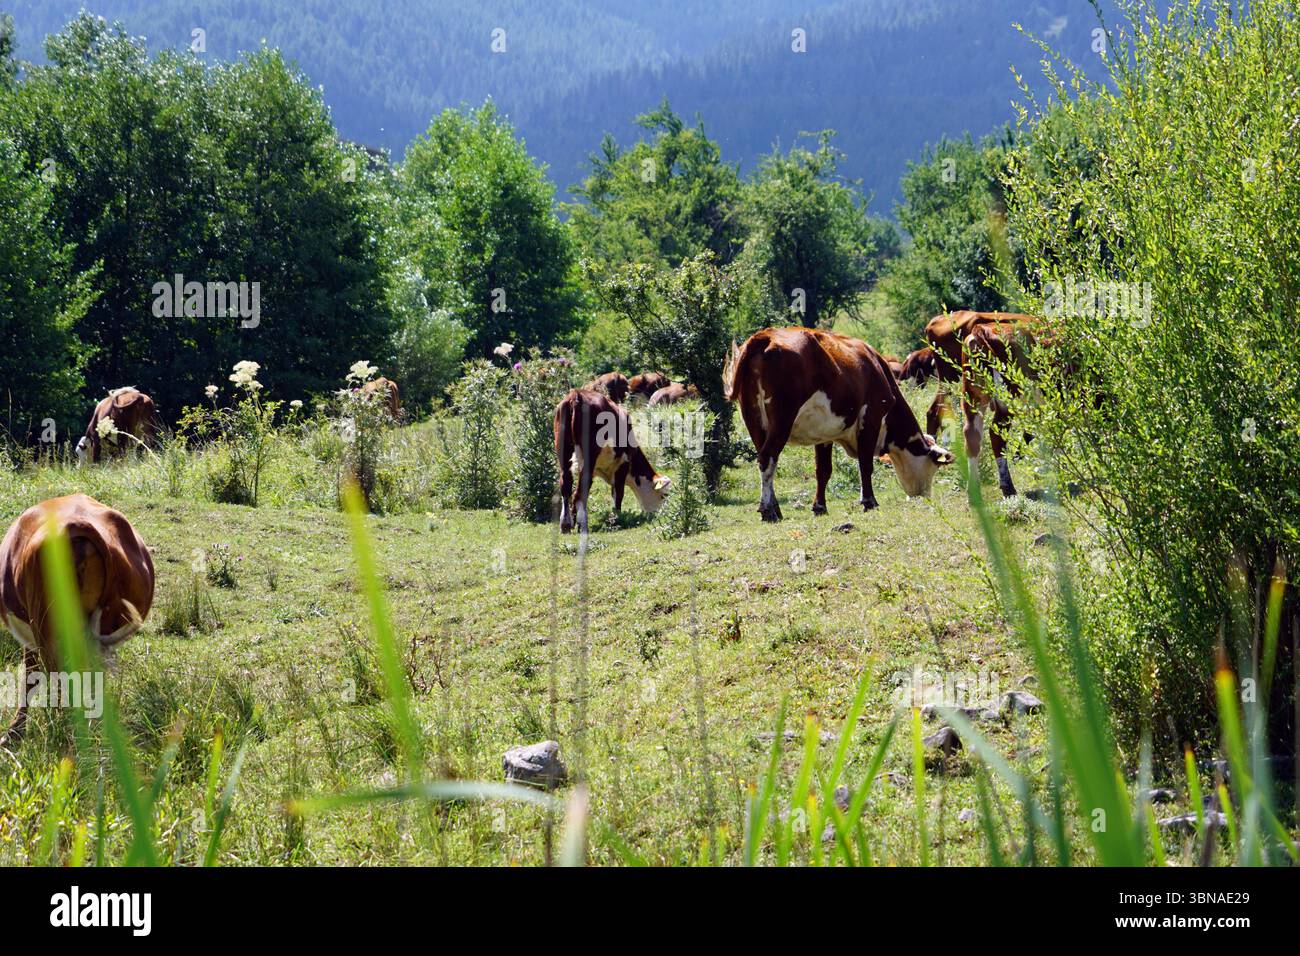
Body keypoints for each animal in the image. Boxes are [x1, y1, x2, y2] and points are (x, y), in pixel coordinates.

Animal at [0, 494, 154, 747]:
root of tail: (77, 524)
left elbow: (30, 677)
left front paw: (14, 732)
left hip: (48, 631)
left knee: (60, 681)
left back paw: (62, 733)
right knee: (89, 680)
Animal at [554, 389, 671, 535]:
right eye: (664, 495)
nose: (663, 514)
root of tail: (577, 394)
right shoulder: (623, 462)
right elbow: (618, 493)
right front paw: (617, 518)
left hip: (563, 452)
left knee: (566, 485)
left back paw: (565, 524)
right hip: (589, 457)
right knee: (580, 490)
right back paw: (582, 524)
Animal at [724, 327, 955, 521]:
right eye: (934, 466)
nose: (925, 496)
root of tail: (766, 335)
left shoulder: (823, 433)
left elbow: (823, 470)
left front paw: (819, 507)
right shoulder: (870, 419)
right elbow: (865, 464)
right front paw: (869, 502)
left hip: (754, 420)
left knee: (763, 458)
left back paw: (776, 508)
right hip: (782, 419)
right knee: (768, 457)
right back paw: (768, 510)